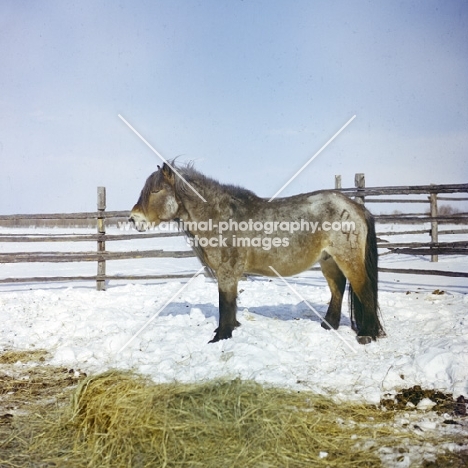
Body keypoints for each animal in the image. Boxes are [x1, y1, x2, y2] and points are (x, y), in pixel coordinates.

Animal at [129, 163, 384, 346]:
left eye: (156, 190)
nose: (133, 219)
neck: (222, 216)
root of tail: (356, 207)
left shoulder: (227, 273)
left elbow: (225, 303)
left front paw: (221, 336)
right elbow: (230, 303)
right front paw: (230, 329)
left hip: (348, 259)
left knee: (364, 289)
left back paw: (367, 334)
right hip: (328, 261)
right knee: (337, 288)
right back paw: (328, 325)